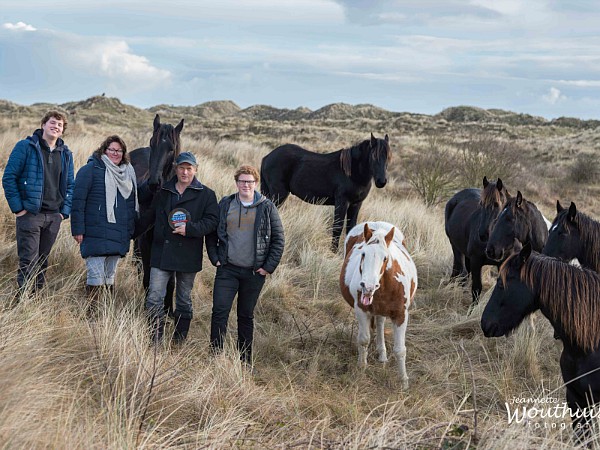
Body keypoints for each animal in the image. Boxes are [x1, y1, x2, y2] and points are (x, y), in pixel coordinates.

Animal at [132, 114, 184, 314]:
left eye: (171, 149)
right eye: (152, 143)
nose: (154, 183)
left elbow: (170, 283)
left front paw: (169, 309)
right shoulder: (146, 242)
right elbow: (148, 278)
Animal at [260, 134, 392, 253]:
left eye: (388, 157)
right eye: (374, 156)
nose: (381, 181)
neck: (352, 172)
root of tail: (267, 157)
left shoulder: (356, 204)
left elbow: (351, 228)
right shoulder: (342, 202)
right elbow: (338, 227)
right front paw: (333, 251)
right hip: (278, 195)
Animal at [338, 221, 418, 386]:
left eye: (385, 258)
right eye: (363, 254)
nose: (367, 287)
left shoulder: (401, 315)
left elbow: (400, 349)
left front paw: (404, 381)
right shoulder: (361, 310)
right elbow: (363, 340)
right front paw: (361, 368)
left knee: (380, 323)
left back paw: (382, 355)